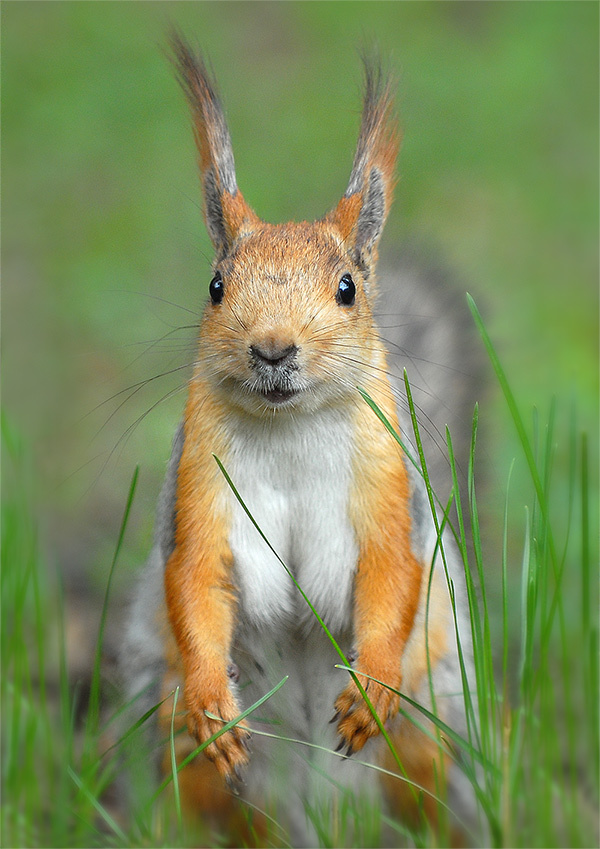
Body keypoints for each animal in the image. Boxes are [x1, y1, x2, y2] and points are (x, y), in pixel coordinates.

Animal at [120, 33, 476, 847]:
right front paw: (214, 704)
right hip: (189, 759)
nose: (273, 349)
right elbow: (195, 585)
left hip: (426, 735)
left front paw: (369, 690)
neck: (290, 429)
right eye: (216, 285)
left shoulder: (386, 484)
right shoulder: (201, 487)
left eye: (348, 288)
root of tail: (321, 814)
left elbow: (391, 580)